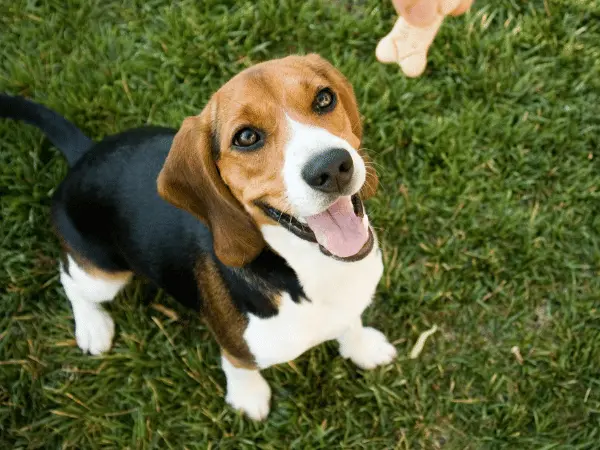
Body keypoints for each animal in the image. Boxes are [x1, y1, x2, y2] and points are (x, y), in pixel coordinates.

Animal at [3, 54, 398, 420]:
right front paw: (248, 397)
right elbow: (238, 366)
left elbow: (351, 323)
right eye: (247, 137)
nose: (331, 167)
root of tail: (84, 155)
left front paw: (362, 346)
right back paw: (92, 326)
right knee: (71, 280)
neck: (312, 268)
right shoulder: (236, 347)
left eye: (324, 99)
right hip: (103, 275)